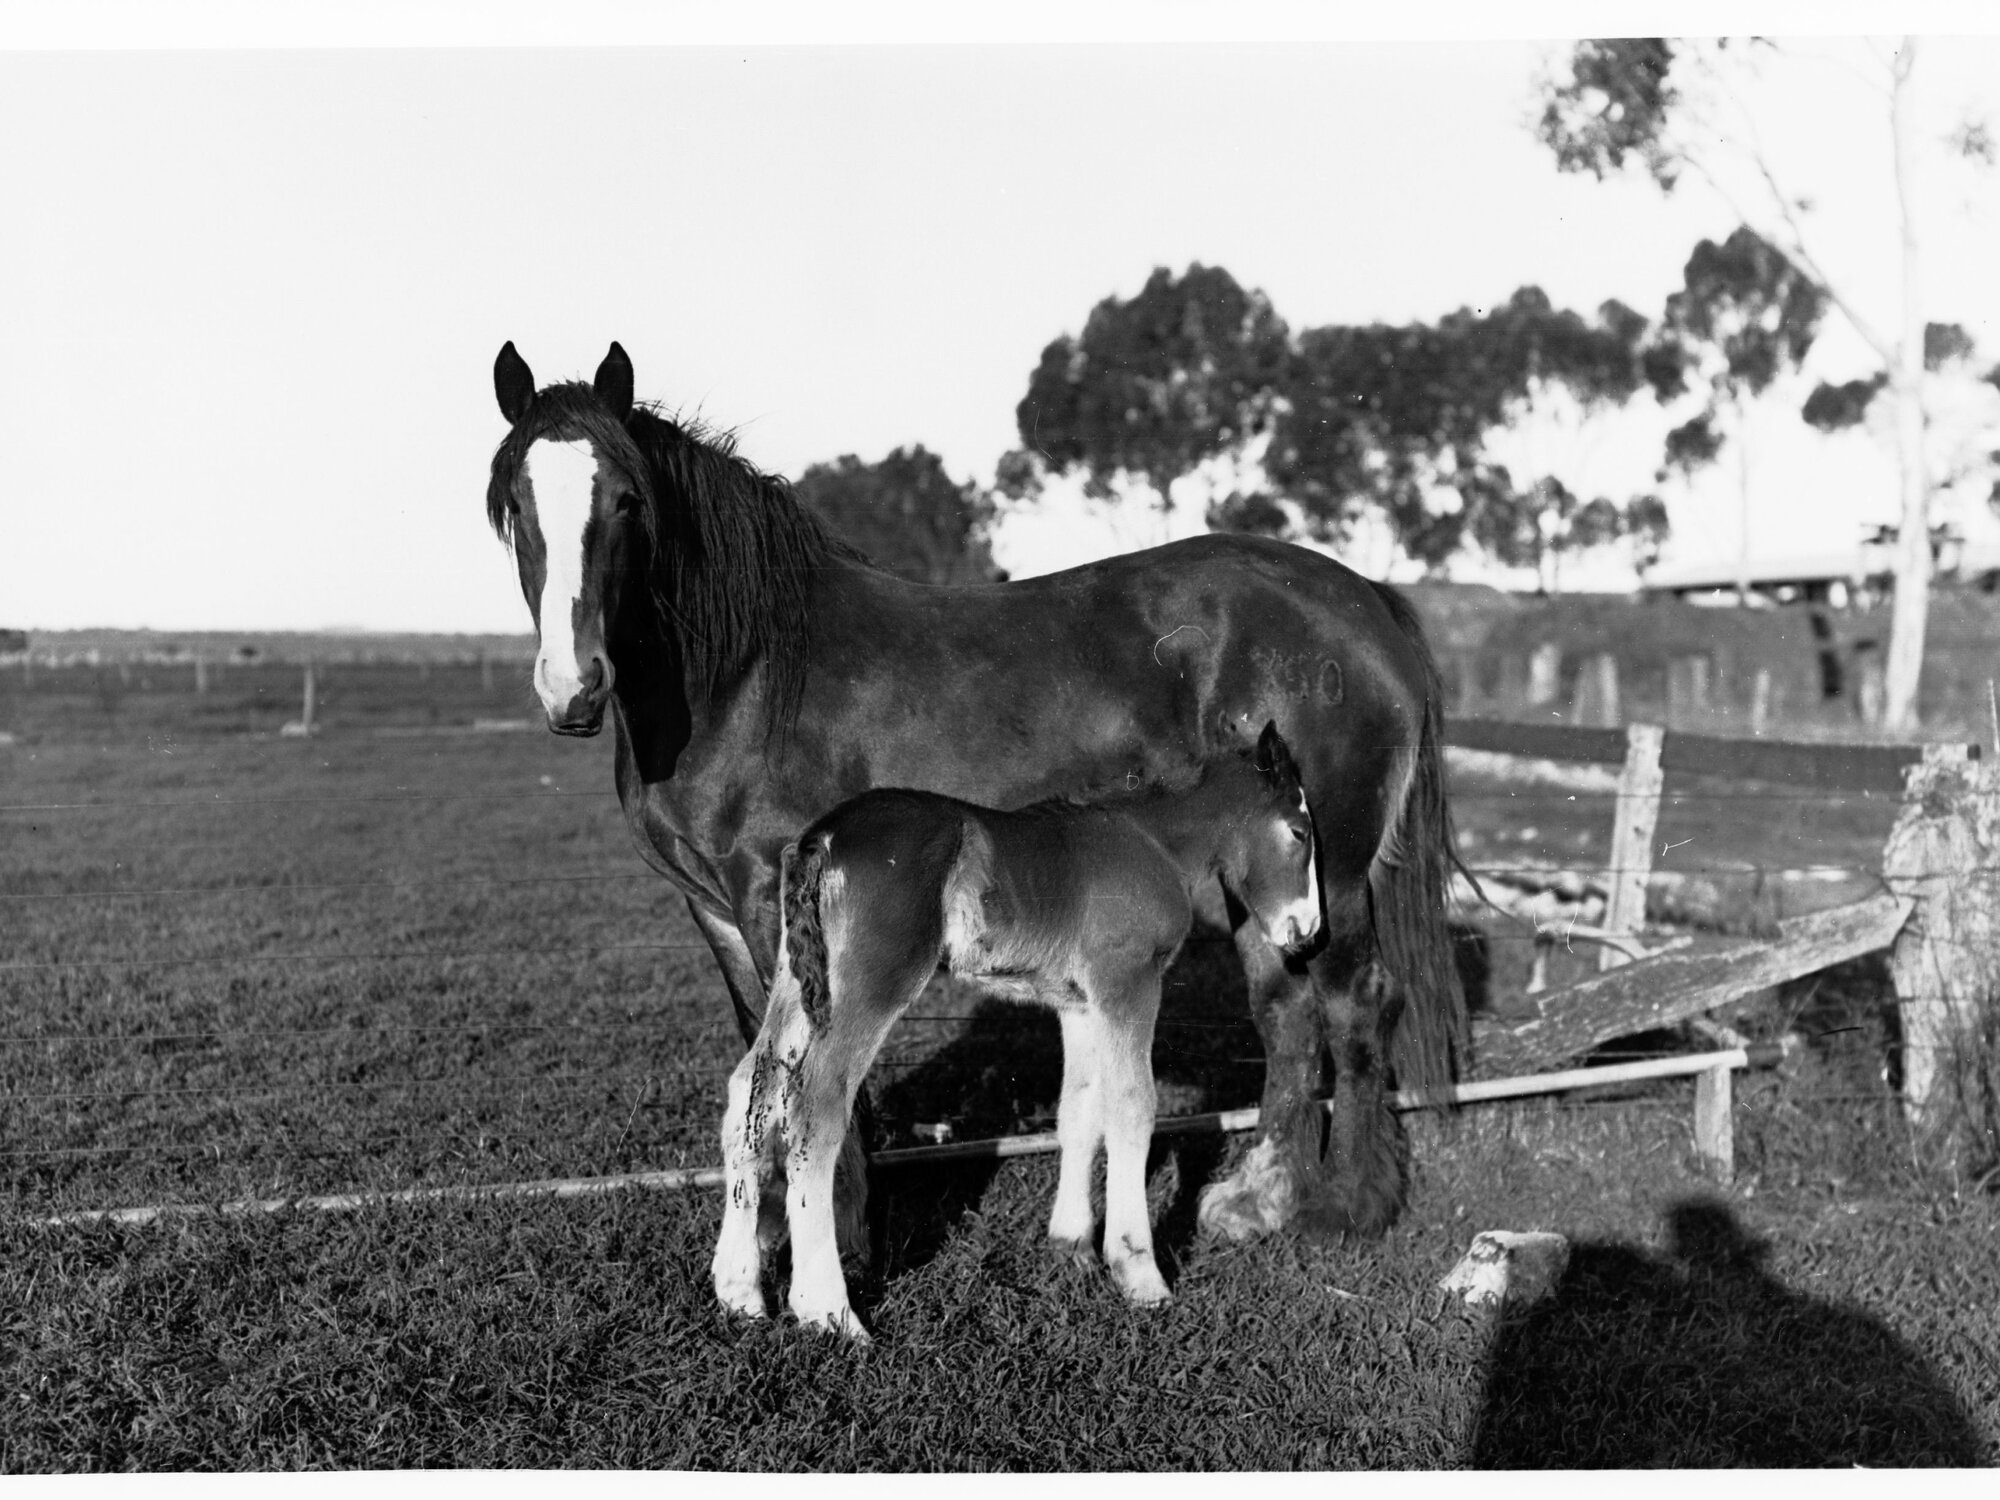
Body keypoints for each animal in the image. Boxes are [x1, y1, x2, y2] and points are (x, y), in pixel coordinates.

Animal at [485, 341, 1466, 1250]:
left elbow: (810, 1066)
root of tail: (1363, 601)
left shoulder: (775, 893)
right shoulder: (716, 909)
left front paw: (840, 1235)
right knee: (1286, 1011)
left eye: (626, 500)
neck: (749, 673)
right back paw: (1258, 1202)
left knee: (1354, 1003)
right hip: (1264, 883)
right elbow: (760, 1058)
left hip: (1328, 871)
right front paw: (772, 1235)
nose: (572, 688)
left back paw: (1349, 1208)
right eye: (515, 505)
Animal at [712, 722, 1323, 1339]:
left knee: (750, 1092)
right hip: (870, 984)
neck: (1154, 841)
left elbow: (1079, 1111)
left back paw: (740, 1294)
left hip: (797, 982)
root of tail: (823, 836)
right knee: (813, 1110)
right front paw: (1140, 1272)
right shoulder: (1128, 982)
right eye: (1299, 833)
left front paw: (1072, 1243)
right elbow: (1132, 1109)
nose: (1308, 932)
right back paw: (828, 1311)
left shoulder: (1080, 1005)